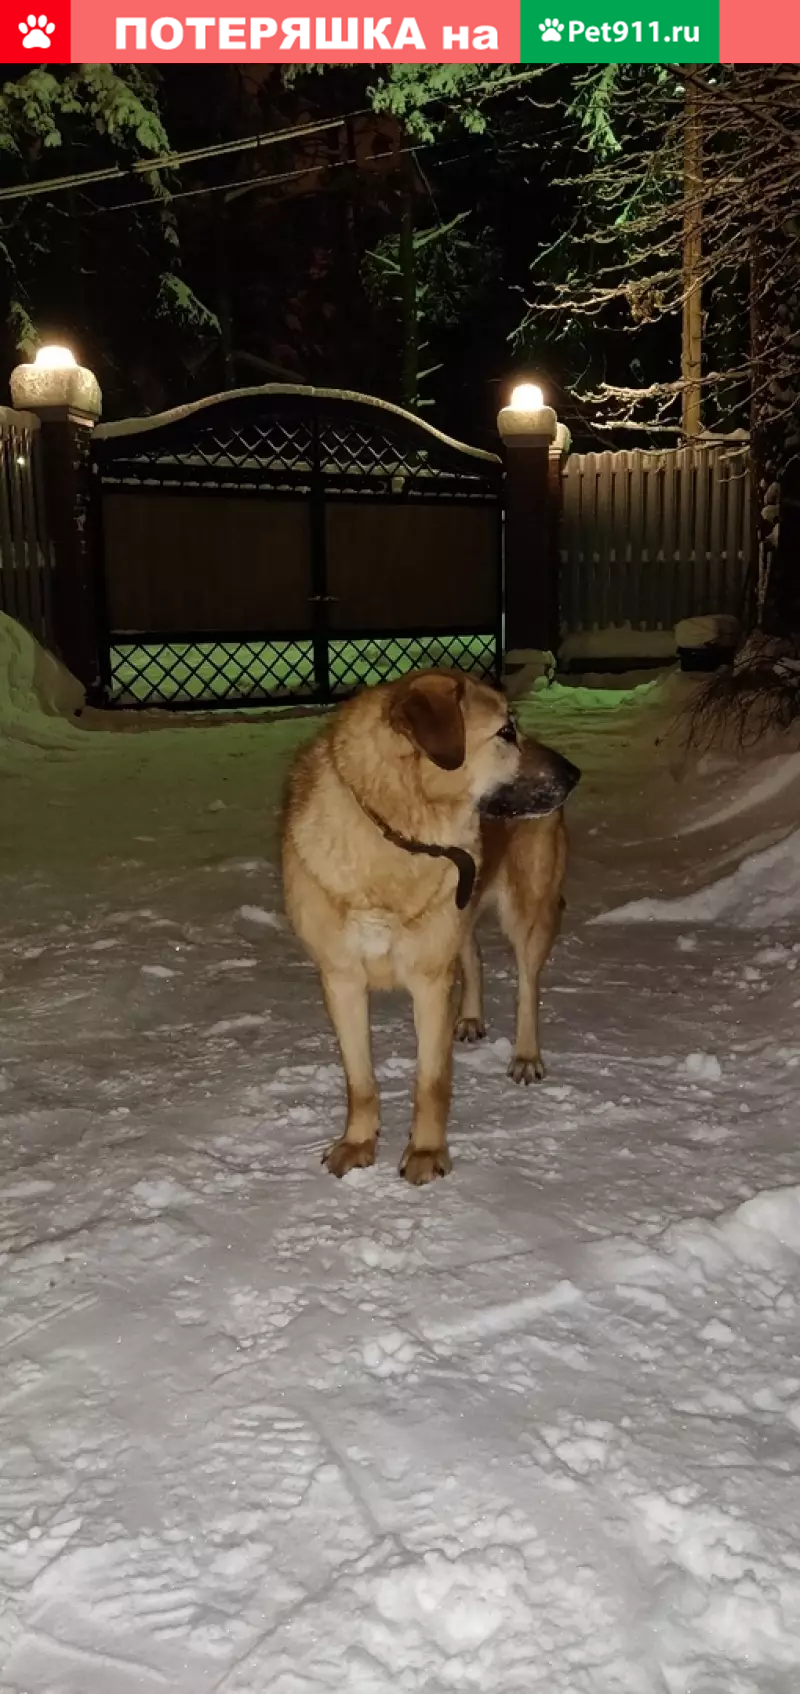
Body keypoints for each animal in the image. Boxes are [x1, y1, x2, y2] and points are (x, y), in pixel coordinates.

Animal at [281, 667, 576, 1185]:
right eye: (506, 732)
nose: (575, 775)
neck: (395, 835)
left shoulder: (429, 982)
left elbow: (431, 1080)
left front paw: (425, 1152)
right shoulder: (341, 979)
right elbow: (360, 1078)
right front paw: (358, 1143)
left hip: (528, 910)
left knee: (527, 984)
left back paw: (525, 1055)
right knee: (474, 956)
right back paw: (472, 1017)